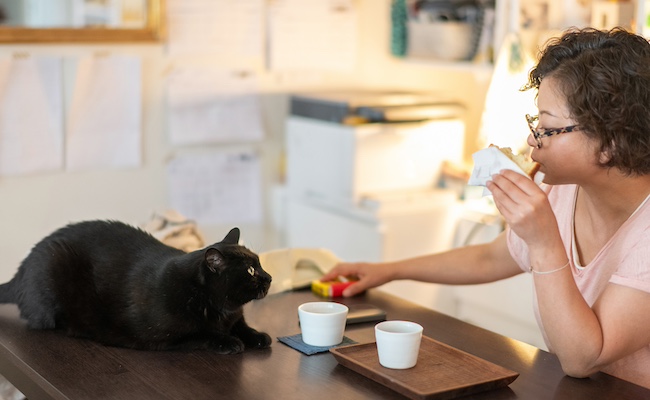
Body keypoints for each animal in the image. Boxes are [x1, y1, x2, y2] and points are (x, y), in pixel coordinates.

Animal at [0, 220, 270, 354]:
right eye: (250, 270)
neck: (222, 310)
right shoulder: (165, 337)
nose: (268, 277)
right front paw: (229, 342)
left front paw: (258, 336)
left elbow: (244, 327)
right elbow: (203, 333)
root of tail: (21, 270)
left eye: (260, 263)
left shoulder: (235, 318)